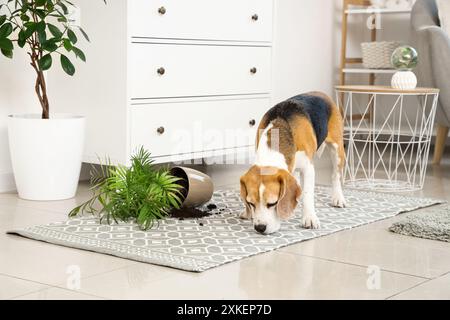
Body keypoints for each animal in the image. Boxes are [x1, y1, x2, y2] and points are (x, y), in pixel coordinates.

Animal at [241, 91, 346, 234]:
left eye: (272, 203)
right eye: (251, 203)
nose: (260, 228)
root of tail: (321, 93)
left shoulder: (308, 168)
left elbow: (307, 194)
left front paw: (309, 218)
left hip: (337, 149)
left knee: (336, 175)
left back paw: (338, 198)